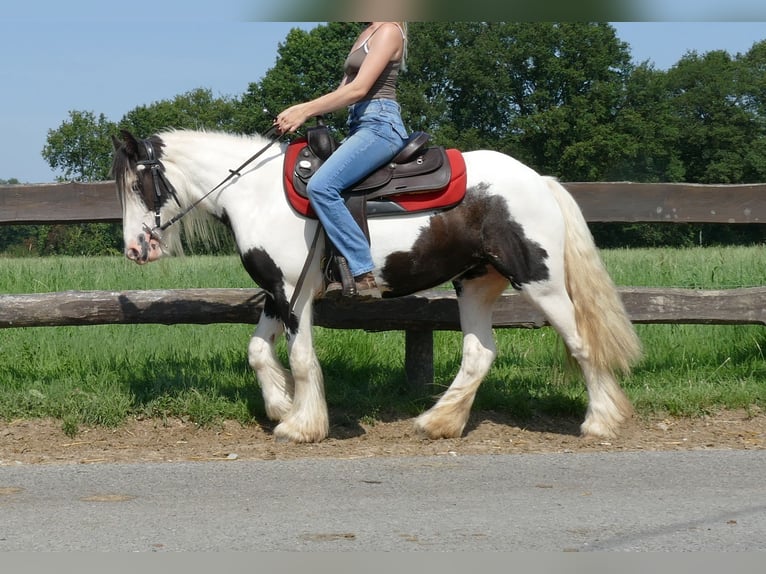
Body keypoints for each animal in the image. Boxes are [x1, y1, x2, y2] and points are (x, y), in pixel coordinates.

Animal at [112, 129, 640, 446]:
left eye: (138, 185)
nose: (135, 249)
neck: (255, 195)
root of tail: (538, 180)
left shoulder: (295, 292)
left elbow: (300, 357)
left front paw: (302, 426)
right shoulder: (276, 292)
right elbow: (258, 352)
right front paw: (281, 407)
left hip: (540, 281)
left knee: (582, 342)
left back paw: (600, 422)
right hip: (474, 283)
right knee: (480, 353)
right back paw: (437, 422)